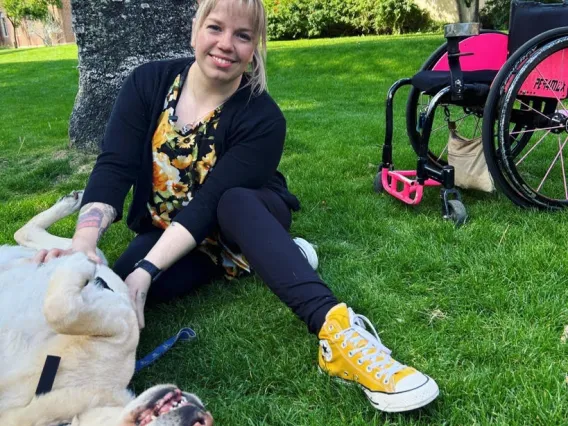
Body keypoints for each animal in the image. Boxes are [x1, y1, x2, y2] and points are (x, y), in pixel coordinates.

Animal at [0, 191, 213, 424]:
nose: (202, 416)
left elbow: (62, 311)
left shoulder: (123, 324)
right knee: (30, 235)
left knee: (28, 235)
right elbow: (62, 311)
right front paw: (80, 263)